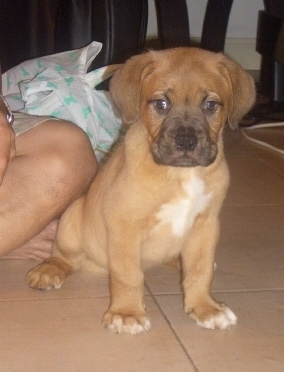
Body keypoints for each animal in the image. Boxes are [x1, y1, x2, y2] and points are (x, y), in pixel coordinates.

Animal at [26, 48, 256, 336]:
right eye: (161, 104)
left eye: (210, 106)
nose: (186, 141)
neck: (179, 174)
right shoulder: (125, 224)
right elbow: (128, 275)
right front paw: (127, 313)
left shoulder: (206, 224)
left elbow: (200, 270)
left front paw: (205, 307)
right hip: (72, 217)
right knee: (63, 255)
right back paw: (49, 270)